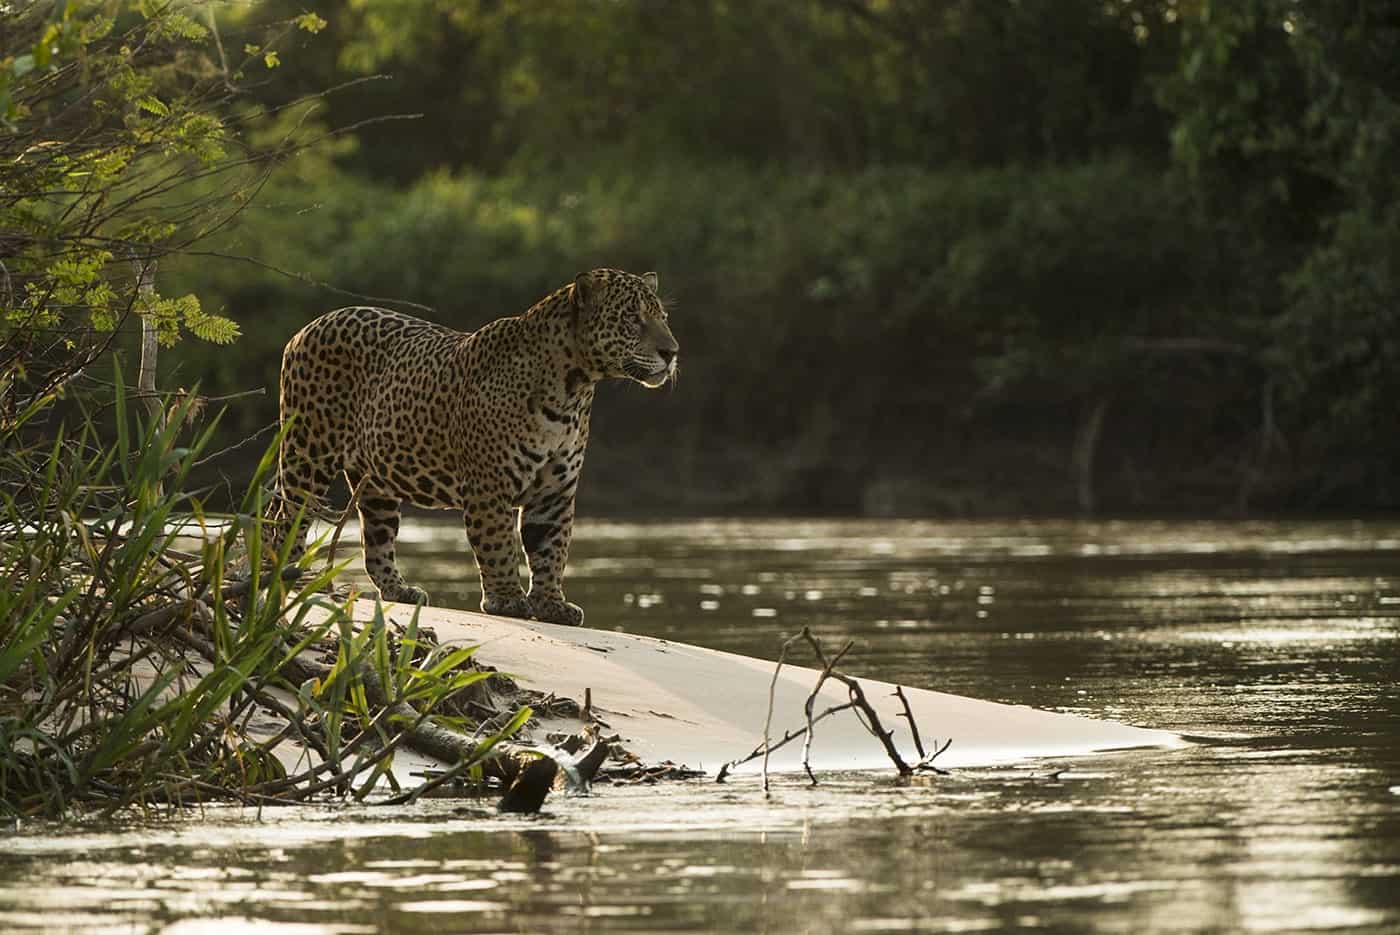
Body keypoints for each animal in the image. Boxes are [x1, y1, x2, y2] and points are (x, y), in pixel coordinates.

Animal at [267, 268, 678, 627]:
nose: (672, 351)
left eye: (663, 317)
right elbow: (499, 544)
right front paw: (507, 599)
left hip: (375, 483)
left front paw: (551, 604)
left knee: (377, 541)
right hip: (307, 453)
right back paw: (278, 571)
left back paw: (399, 590)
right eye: (633, 318)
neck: (573, 388)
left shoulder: (554, 491)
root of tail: (306, 328)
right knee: (285, 514)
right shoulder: (489, 486)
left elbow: (551, 548)